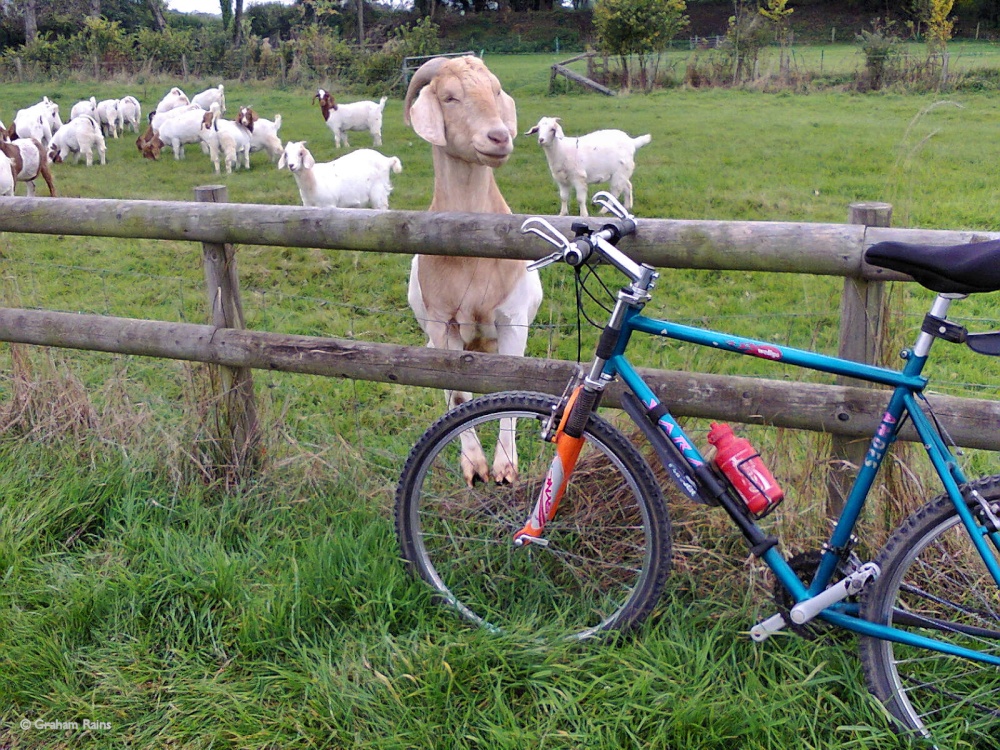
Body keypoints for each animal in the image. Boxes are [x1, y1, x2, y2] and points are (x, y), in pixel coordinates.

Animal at [404, 54, 548, 488]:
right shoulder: (442, 325)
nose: (499, 137)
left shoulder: (512, 320)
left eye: (496, 91)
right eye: (450, 97)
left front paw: (505, 466)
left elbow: (511, 391)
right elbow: (457, 395)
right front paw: (474, 465)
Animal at [520, 116, 652, 219]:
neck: (562, 150)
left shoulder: (579, 178)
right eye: (538, 129)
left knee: (615, 191)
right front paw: (562, 214)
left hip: (620, 172)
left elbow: (580, 199)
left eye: (552, 129)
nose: (541, 140)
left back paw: (603, 211)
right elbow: (563, 197)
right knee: (627, 185)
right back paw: (627, 206)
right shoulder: (561, 180)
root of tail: (632, 142)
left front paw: (584, 215)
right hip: (622, 173)